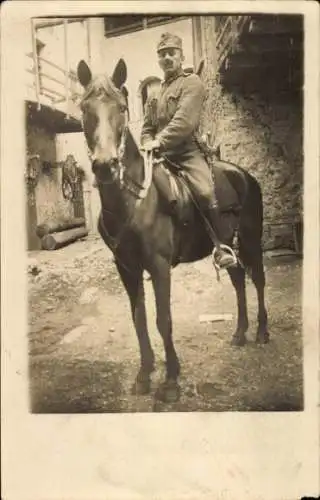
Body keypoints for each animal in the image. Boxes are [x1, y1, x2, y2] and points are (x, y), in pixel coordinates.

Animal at [77, 58, 268, 402]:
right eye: (85, 108)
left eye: (122, 107)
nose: (105, 165)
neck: (133, 200)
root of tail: (244, 175)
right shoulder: (127, 268)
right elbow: (139, 318)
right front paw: (144, 374)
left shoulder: (159, 266)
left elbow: (163, 319)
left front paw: (170, 380)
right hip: (227, 245)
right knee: (237, 280)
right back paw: (239, 332)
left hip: (249, 240)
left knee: (257, 279)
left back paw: (261, 331)